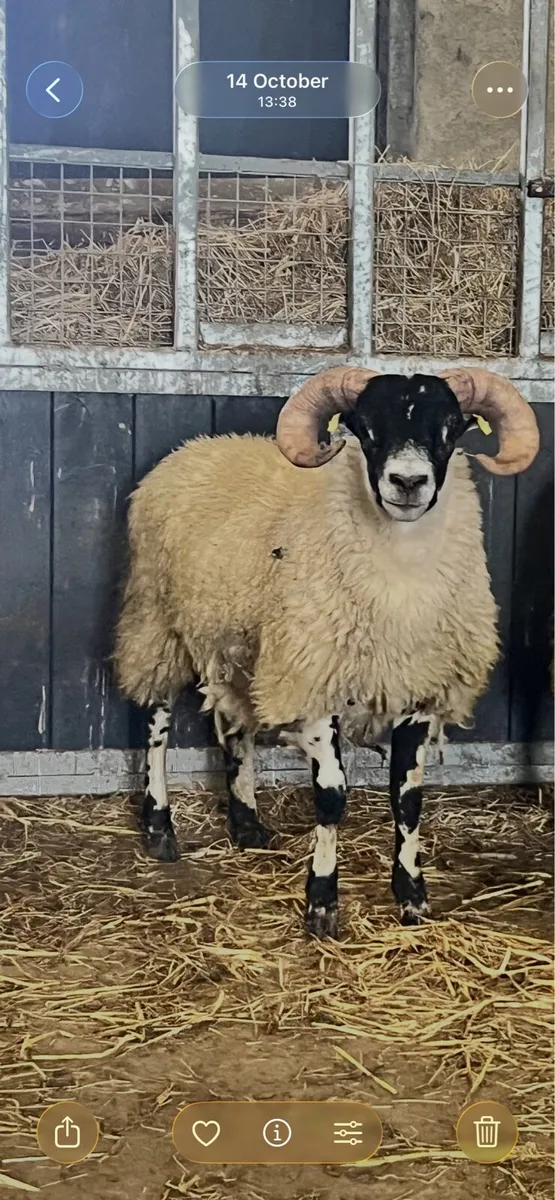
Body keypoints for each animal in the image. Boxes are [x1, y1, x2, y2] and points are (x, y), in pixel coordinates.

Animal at [115, 366, 539, 936]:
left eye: (451, 426)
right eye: (365, 427)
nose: (408, 483)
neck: (399, 588)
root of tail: (199, 445)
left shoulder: (419, 690)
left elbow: (408, 800)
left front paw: (412, 898)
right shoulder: (315, 681)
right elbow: (333, 797)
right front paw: (321, 903)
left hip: (241, 643)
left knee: (232, 728)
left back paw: (247, 826)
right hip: (158, 622)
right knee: (157, 726)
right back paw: (160, 828)